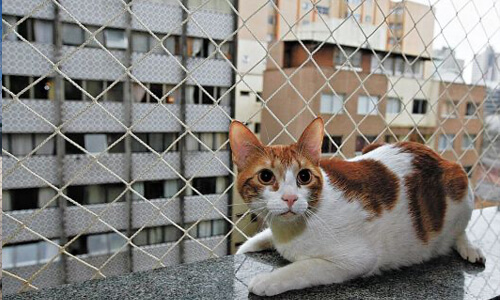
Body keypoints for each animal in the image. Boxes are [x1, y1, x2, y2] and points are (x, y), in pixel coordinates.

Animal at [229, 116, 484, 296]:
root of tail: (435, 154)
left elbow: (304, 268)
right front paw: (251, 245)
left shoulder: (356, 260)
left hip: (460, 187)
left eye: (304, 176)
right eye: (266, 176)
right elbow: (260, 239)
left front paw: (268, 280)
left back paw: (468, 247)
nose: (290, 198)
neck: (291, 230)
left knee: (460, 230)